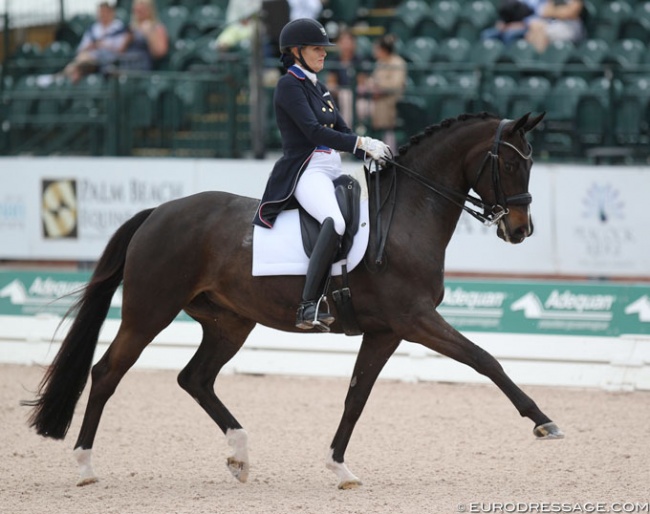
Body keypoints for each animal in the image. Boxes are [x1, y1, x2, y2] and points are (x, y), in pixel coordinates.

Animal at [24, 111, 560, 488]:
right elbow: (484, 359)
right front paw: (544, 423)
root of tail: (158, 212)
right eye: (511, 162)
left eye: (531, 162)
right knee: (107, 372)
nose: (521, 230)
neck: (406, 218)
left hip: (230, 322)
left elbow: (356, 397)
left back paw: (240, 455)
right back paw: (85, 465)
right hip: (150, 311)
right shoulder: (416, 319)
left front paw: (339, 468)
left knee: (195, 378)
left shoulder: (386, 331)